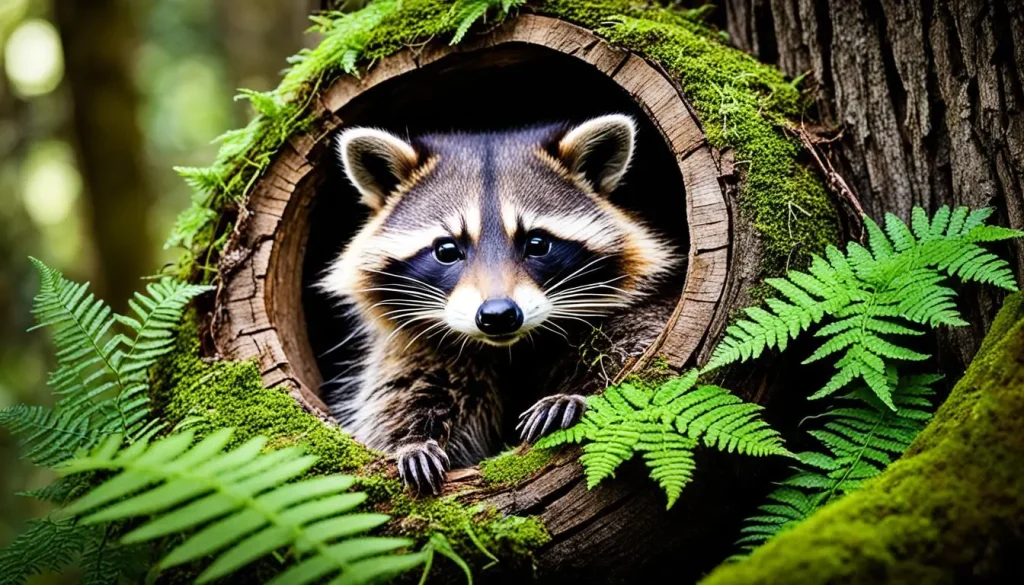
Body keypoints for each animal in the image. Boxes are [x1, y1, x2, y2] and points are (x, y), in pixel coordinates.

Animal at [318, 114, 678, 494]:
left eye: (537, 243)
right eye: (447, 250)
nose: (498, 315)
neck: (509, 350)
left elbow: (633, 350)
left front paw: (576, 395)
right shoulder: (416, 350)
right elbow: (398, 397)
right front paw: (412, 441)